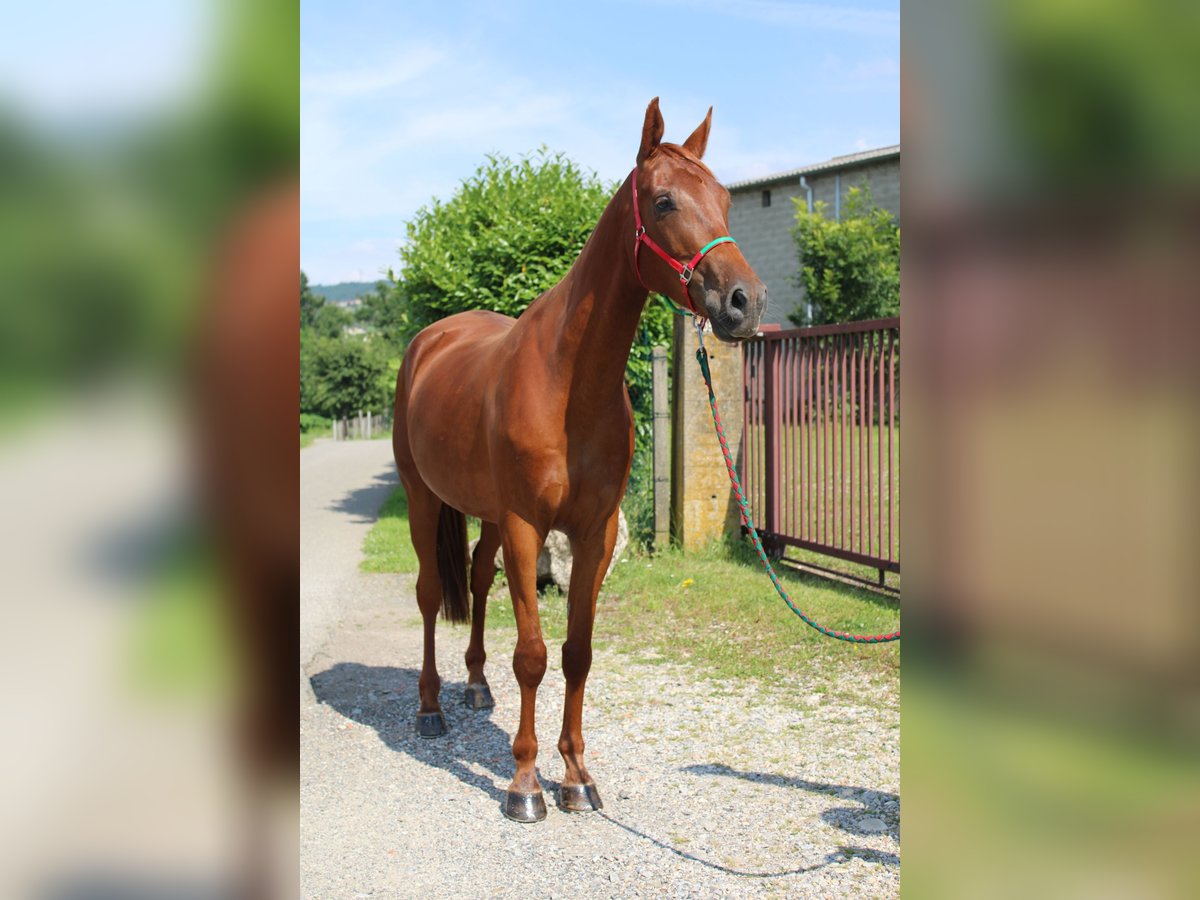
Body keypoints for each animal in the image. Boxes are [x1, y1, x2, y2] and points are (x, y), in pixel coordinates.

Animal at [393, 100, 768, 825]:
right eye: (663, 200)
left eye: (726, 200)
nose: (745, 302)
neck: (569, 384)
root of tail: (431, 338)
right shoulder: (525, 527)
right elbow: (533, 655)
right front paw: (524, 784)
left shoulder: (595, 532)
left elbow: (577, 654)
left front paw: (574, 776)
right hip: (425, 500)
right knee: (428, 595)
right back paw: (429, 708)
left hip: (486, 517)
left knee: (475, 583)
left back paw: (475, 686)